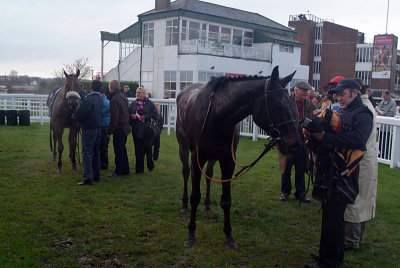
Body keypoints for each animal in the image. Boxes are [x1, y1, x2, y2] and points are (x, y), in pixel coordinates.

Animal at [177, 65, 302, 249]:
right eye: (278, 105)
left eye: (291, 104)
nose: (295, 144)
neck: (216, 115)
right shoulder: (196, 160)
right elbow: (195, 197)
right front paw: (191, 234)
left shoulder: (228, 161)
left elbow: (226, 200)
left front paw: (229, 235)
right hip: (183, 147)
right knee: (185, 172)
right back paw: (184, 205)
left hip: (213, 157)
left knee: (209, 175)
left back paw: (207, 206)